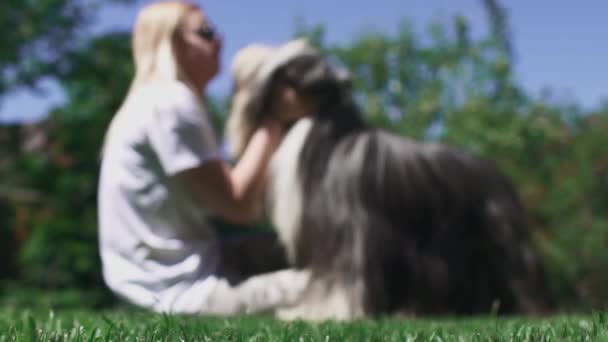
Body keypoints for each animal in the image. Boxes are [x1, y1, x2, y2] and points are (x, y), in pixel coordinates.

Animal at [227, 40, 552, 320]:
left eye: (284, 69)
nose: (242, 56)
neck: (324, 133)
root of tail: (496, 174)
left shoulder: (348, 233)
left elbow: (343, 277)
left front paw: (327, 312)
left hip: (501, 240)